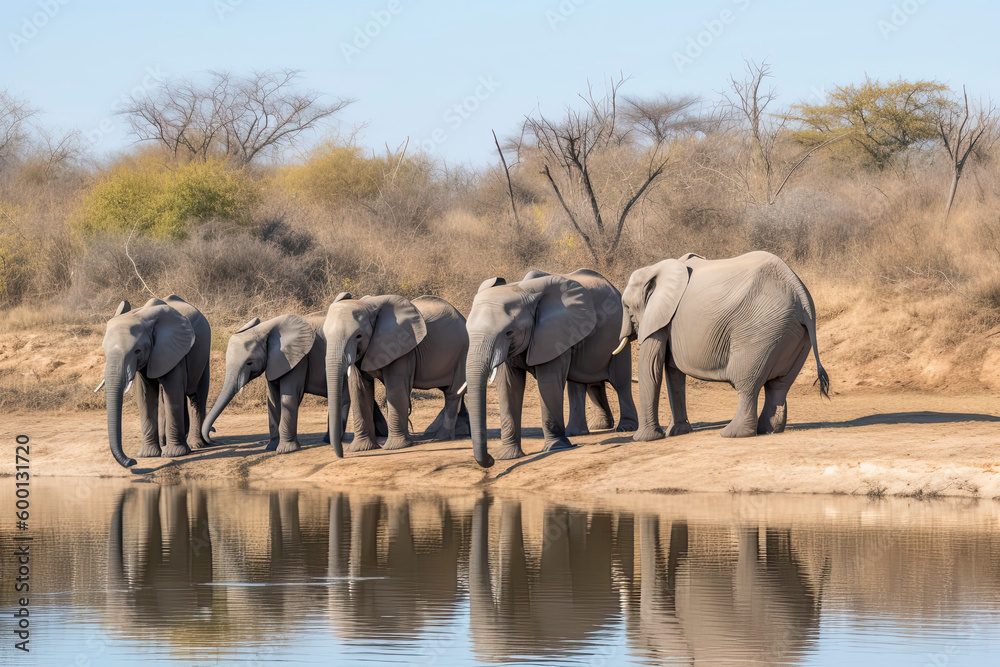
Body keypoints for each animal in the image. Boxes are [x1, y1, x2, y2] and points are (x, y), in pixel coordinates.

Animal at [100, 294, 211, 468]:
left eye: (137, 351)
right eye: (104, 350)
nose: (131, 461)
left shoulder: (173, 348)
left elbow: (173, 390)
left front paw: (174, 454)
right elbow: (145, 394)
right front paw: (148, 455)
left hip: (204, 356)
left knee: (196, 395)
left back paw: (195, 444)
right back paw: (170, 443)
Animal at [200, 305, 387, 454]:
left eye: (249, 362)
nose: (214, 433)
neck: (267, 329)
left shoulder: (298, 358)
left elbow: (289, 395)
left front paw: (285, 450)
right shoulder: (274, 361)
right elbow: (272, 398)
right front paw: (271, 448)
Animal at [324, 294, 470, 457]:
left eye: (358, 336)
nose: (342, 455)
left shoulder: (402, 347)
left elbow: (395, 387)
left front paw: (395, 447)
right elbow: (358, 389)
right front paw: (361, 449)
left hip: (463, 352)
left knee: (452, 393)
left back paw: (441, 437)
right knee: (451, 391)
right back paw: (450, 433)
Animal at [465, 269, 638, 468]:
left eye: (509, 332)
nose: (490, 460)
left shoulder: (555, 333)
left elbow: (548, 383)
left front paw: (556, 447)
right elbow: (509, 386)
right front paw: (508, 456)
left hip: (620, 332)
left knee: (619, 382)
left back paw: (625, 428)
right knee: (582, 383)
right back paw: (584, 431)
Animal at [616, 251, 829, 440]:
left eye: (627, 307)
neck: (655, 269)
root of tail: (801, 295)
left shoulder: (659, 316)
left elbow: (651, 368)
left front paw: (644, 439)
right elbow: (673, 373)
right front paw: (677, 432)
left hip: (761, 330)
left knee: (747, 384)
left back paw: (733, 434)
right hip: (795, 335)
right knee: (779, 386)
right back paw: (769, 430)